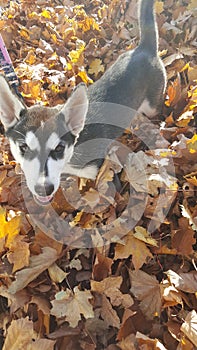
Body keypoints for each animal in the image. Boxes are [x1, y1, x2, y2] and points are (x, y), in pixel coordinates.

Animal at [0, 0, 166, 205]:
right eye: (23, 147)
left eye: (59, 148)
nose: (43, 189)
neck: (72, 156)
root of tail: (144, 49)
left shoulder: (102, 168)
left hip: (152, 105)